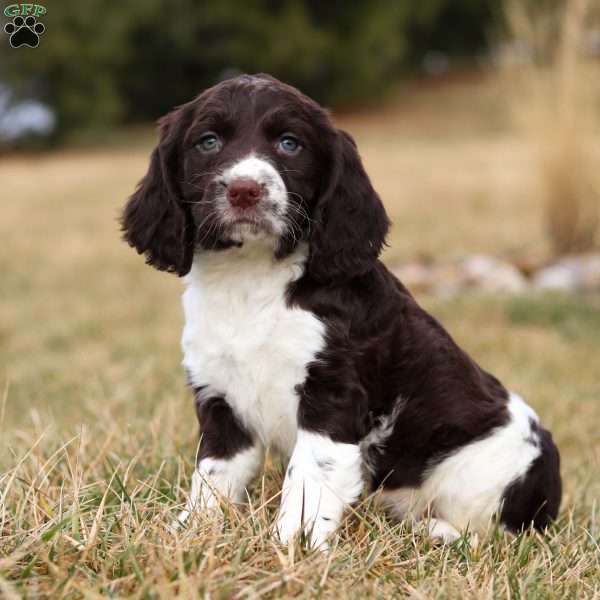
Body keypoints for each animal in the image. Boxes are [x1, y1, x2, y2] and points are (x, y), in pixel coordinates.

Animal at [122, 72, 564, 548]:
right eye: (207, 142)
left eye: (290, 144)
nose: (245, 190)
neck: (251, 279)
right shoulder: (220, 396)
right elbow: (213, 476)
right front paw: (189, 532)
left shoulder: (331, 395)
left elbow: (310, 476)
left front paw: (292, 545)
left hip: (487, 473)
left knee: (491, 532)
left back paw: (435, 530)